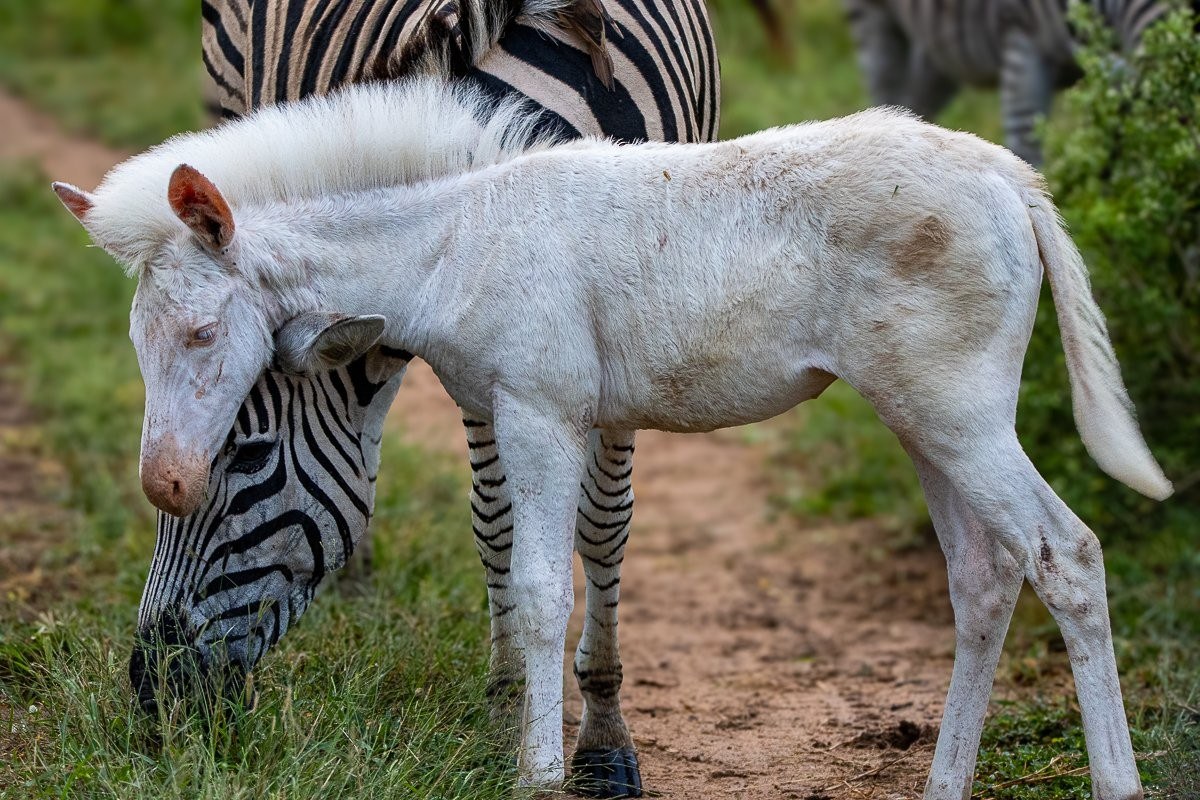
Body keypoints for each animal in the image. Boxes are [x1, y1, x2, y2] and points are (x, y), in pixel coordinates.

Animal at [131, 1, 717, 796]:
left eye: (247, 458)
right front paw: (505, 714)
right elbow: (498, 524)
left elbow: (604, 525)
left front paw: (602, 738)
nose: (148, 692)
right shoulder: (485, 354)